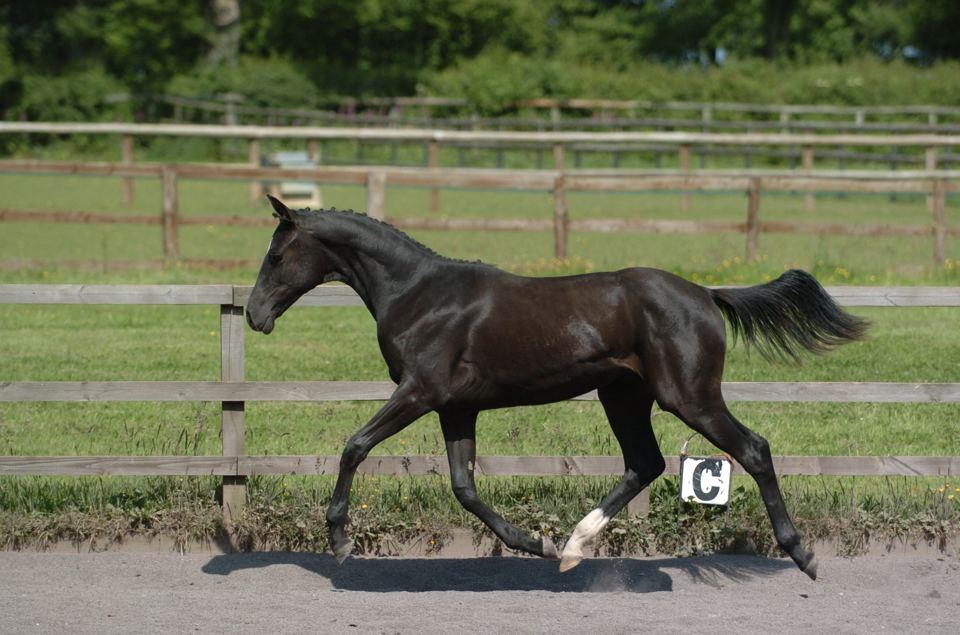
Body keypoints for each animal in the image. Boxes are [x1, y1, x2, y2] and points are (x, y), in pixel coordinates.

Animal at [245, 195, 868, 579]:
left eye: (275, 255)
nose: (255, 315)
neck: (418, 293)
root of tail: (706, 294)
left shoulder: (418, 392)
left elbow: (355, 446)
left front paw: (339, 541)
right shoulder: (455, 407)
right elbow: (464, 487)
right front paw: (536, 544)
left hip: (689, 397)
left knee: (752, 450)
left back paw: (802, 554)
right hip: (623, 396)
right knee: (645, 462)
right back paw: (571, 547)